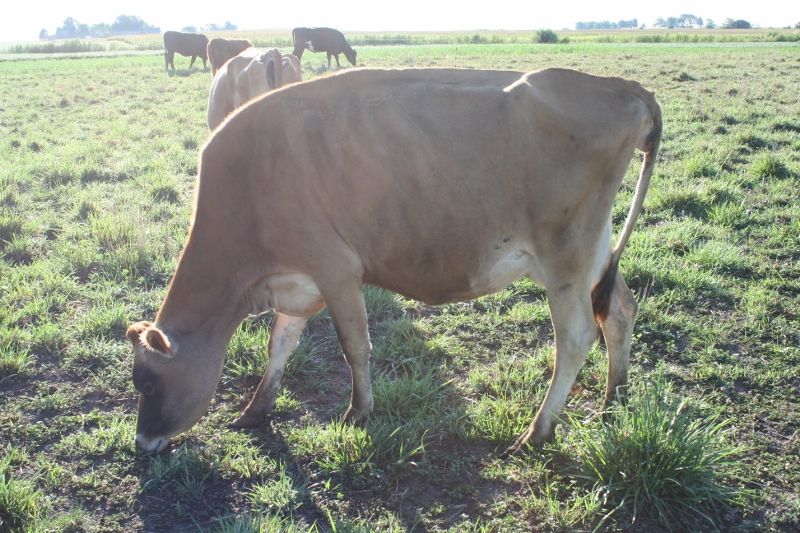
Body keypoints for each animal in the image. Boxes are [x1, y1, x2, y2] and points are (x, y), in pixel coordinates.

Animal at [128, 67, 661, 455]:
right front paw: (257, 409)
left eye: (148, 382)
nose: (141, 442)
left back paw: (539, 431)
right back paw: (614, 398)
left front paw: (358, 413)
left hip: (566, 257)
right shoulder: (297, 279)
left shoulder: (337, 269)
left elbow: (354, 347)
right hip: (594, 251)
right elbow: (279, 344)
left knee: (575, 337)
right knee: (618, 310)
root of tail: (622, 86)